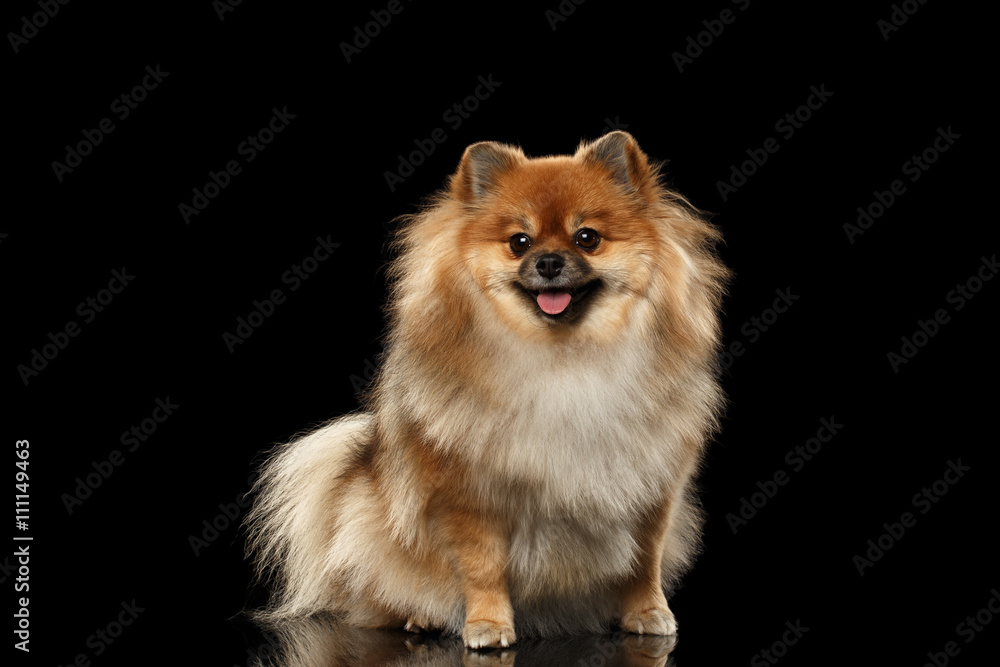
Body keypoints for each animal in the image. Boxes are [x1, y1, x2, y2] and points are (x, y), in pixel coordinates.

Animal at [242, 129, 728, 648]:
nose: (548, 262)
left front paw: (648, 612)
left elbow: (643, 562)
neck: (566, 359)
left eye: (587, 238)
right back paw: (422, 618)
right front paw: (489, 625)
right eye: (519, 242)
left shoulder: (652, 489)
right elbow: (483, 567)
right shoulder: (469, 497)